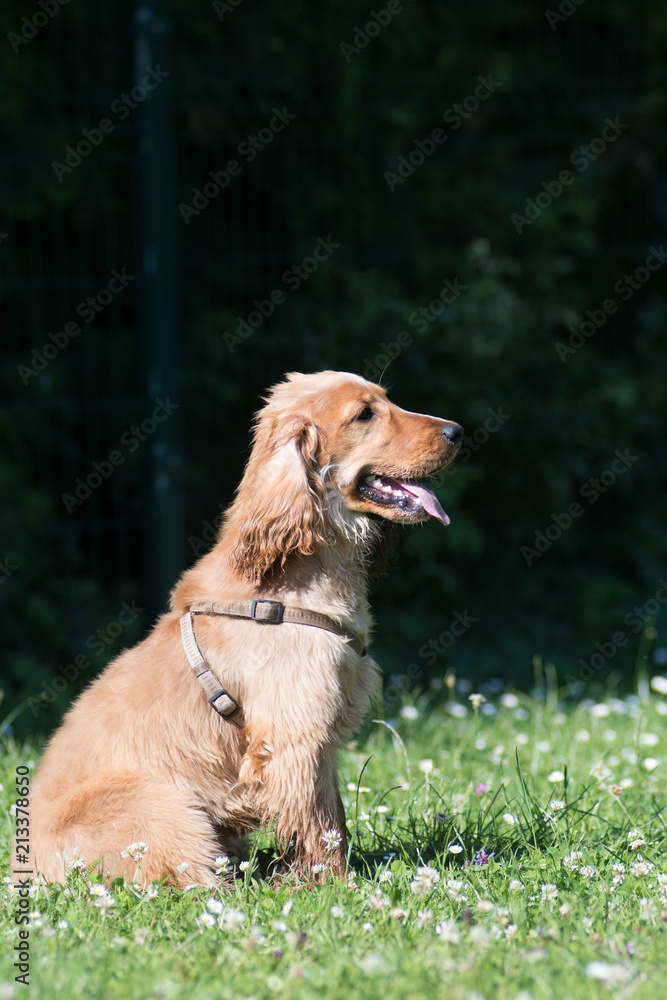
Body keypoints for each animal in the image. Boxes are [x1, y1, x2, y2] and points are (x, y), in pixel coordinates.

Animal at [28, 372, 462, 888]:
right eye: (364, 414)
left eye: (387, 400)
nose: (457, 431)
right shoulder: (295, 733)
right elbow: (320, 825)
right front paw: (333, 886)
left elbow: (332, 815)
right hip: (164, 805)